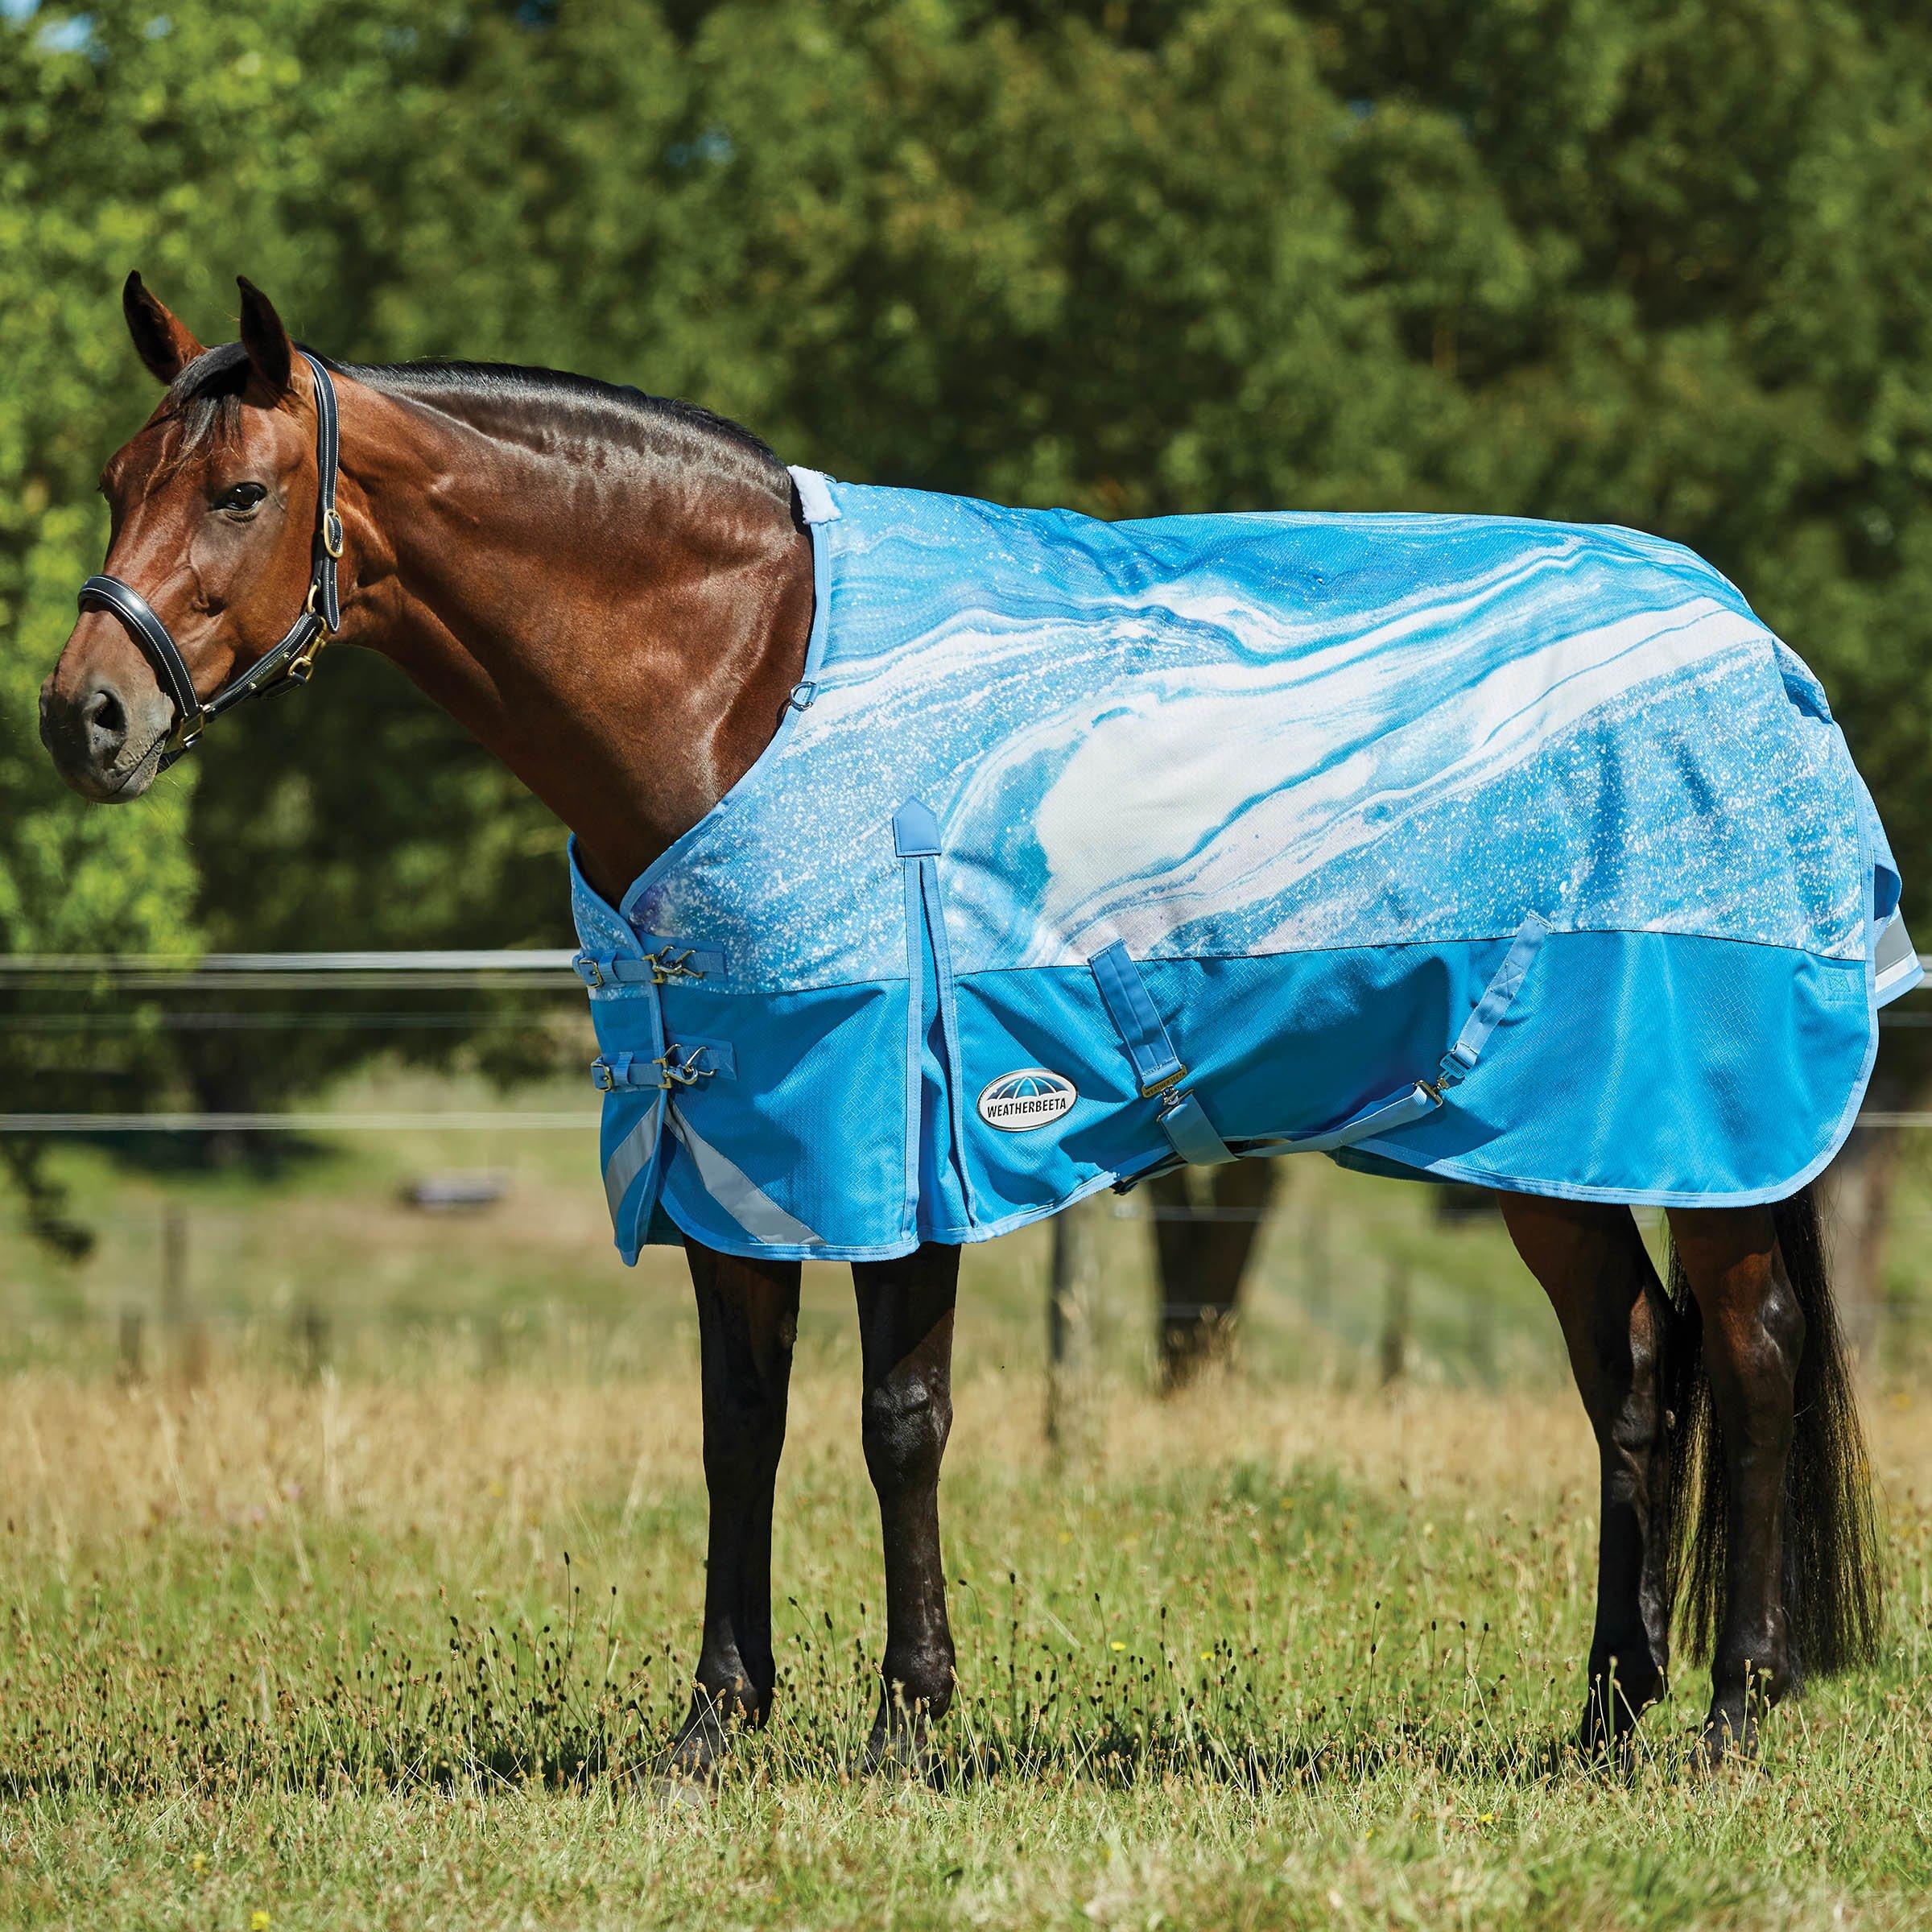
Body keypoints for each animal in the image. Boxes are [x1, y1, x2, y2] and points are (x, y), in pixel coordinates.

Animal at [39, 275, 1885, 1774]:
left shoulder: (896, 1134)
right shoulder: (739, 1143)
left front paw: (906, 1722)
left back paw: (1730, 1711)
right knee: (1630, 1374)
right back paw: (1607, 1713)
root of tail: (1758, 650)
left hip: (1692, 1121)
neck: (741, 677)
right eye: (121, 482)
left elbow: (896, 1425)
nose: (86, 718)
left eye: (242, 490)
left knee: (1748, 1351)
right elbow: (739, 1428)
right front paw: (715, 1726)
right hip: (1541, 1139)